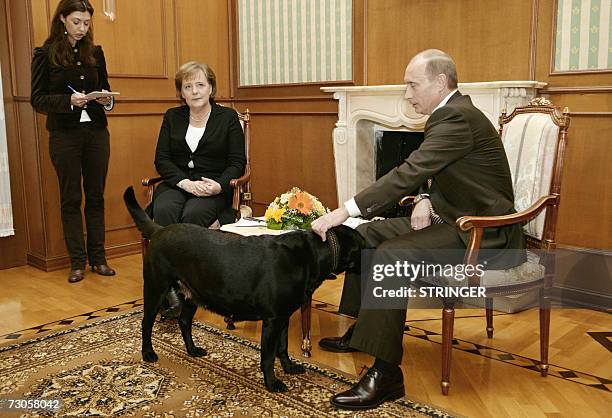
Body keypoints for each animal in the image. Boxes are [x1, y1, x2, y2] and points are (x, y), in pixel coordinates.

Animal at [122, 188, 366, 390]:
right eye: (364, 246)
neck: (311, 255)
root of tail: (160, 229)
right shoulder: (272, 320)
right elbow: (268, 356)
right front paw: (272, 383)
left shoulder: (284, 317)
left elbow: (283, 347)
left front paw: (288, 368)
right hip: (156, 288)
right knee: (146, 323)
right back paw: (148, 353)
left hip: (193, 293)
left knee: (183, 322)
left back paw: (192, 350)